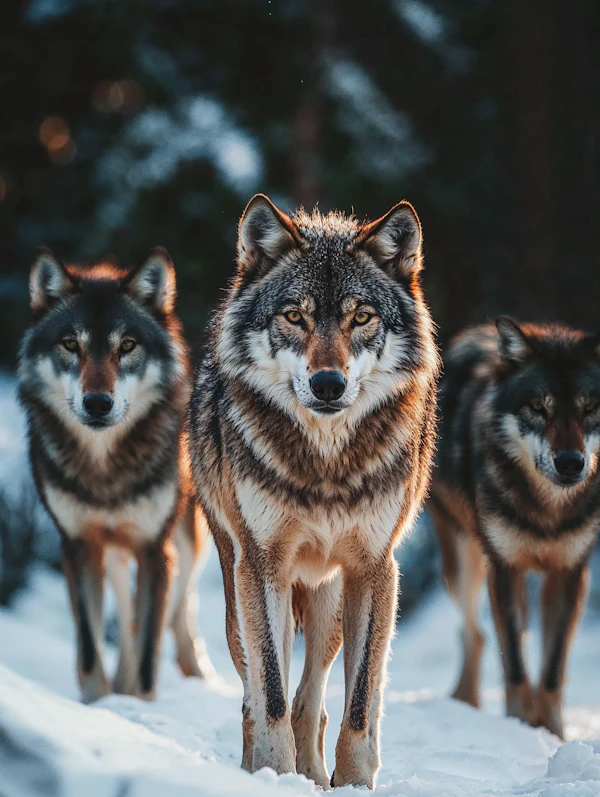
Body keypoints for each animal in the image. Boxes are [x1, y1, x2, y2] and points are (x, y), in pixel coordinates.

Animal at [18, 248, 213, 703]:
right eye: (70, 344)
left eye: (127, 346)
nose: (97, 403)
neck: (105, 468)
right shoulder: (79, 546)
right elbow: (90, 646)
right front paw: (98, 705)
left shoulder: (155, 549)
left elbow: (148, 654)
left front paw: (140, 706)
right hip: (116, 553)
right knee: (127, 617)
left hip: (186, 540)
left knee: (180, 606)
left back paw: (197, 672)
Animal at [188, 194, 439, 788]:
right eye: (294, 316)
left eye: (361, 317)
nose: (328, 384)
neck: (326, 468)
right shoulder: (262, 565)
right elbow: (271, 693)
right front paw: (272, 775)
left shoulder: (375, 568)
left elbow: (359, 703)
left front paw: (352, 784)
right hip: (240, 591)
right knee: (258, 696)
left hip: (330, 605)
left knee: (314, 700)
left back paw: (316, 778)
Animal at [430, 318, 600, 737]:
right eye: (538, 407)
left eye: (589, 408)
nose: (570, 462)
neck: (547, 513)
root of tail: (474, 332)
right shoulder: (505, 569)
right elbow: (517, 668)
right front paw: (522, 728)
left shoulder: (571, 573)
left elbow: (552, 668)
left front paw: (551, 734)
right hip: (463, 565)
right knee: (475, 634)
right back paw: (466, 701)